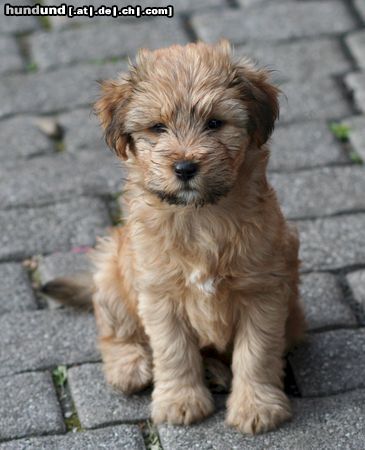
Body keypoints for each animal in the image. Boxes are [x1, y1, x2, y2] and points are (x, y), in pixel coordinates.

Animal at [43, 40, 304, 434]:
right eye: (157, 127)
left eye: (215, 123)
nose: (184, 167)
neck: (201, 217)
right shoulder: (159, 295)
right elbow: (174, 351)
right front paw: (181, 401)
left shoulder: (264, 291)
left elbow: (256, 353)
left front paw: (256, 406)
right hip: (112, 269)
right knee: (114, 331)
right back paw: (130, 366)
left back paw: (215, 372)